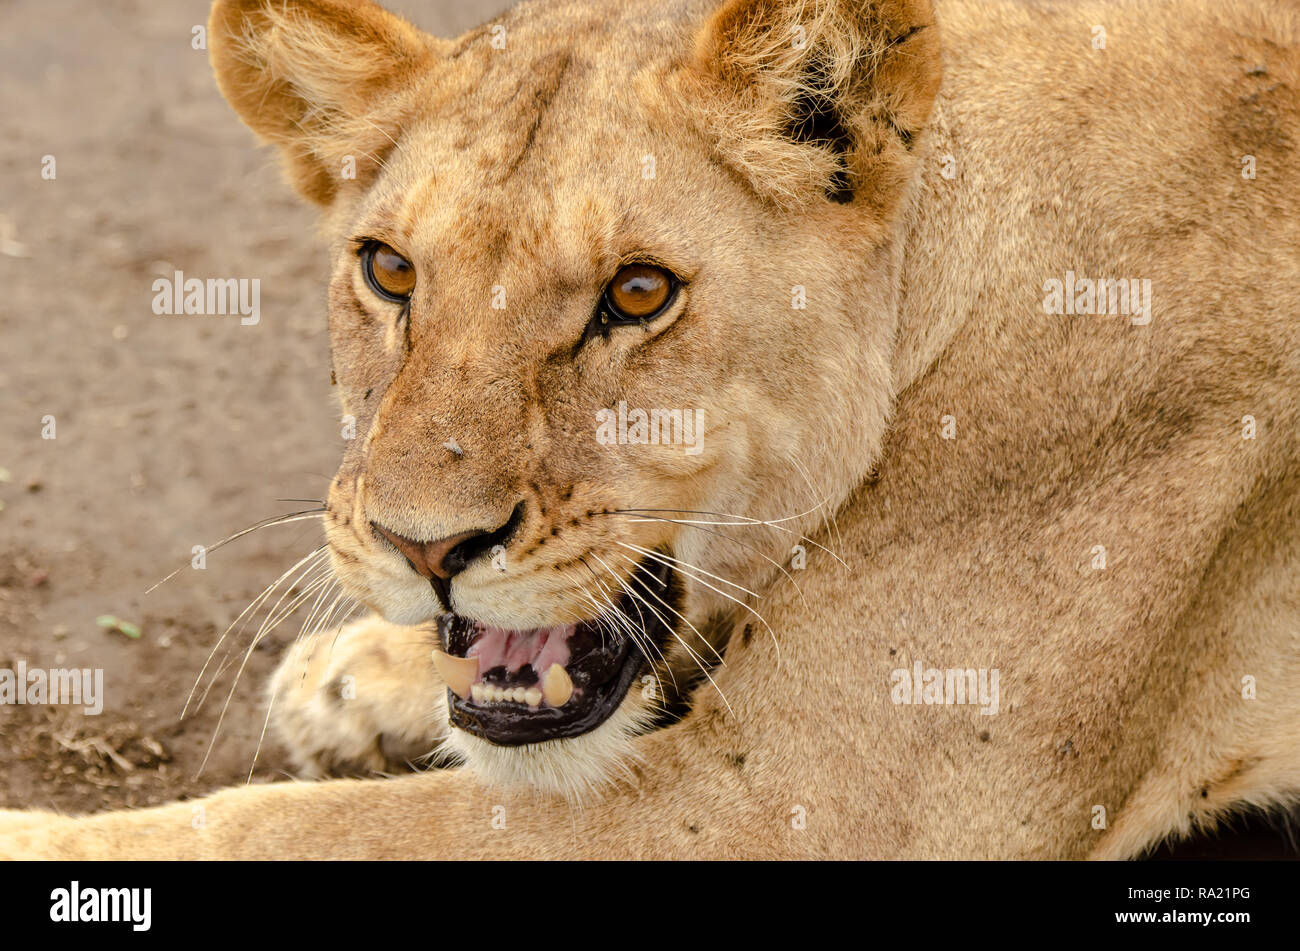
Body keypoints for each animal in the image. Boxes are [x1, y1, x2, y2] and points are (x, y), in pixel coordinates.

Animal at [2, 0, 1298, 859]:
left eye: (637, 294)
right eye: (388, 270)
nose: (424, 551)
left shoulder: (813, 807)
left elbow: (283, 829)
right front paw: (360, 672)